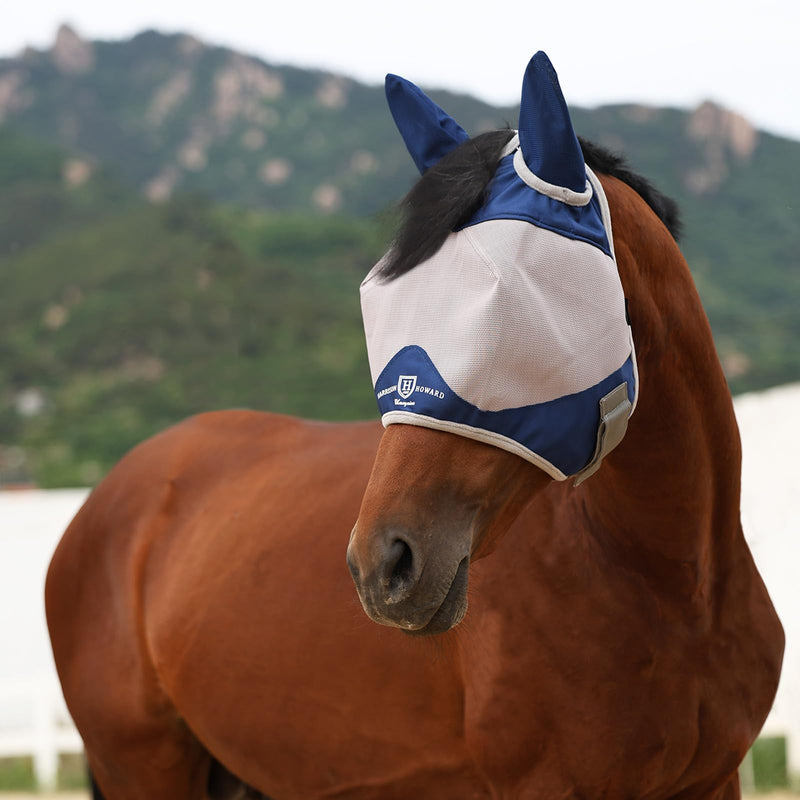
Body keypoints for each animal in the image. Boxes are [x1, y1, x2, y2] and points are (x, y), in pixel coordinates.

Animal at [46, 53, 783, 799]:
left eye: (510, 306)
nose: (380, 566)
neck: (673, 585)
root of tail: (107, 501)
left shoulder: (712, 781)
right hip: (143, 766)